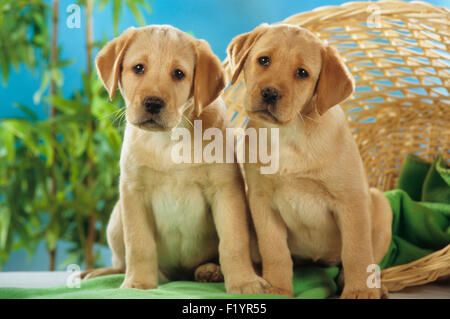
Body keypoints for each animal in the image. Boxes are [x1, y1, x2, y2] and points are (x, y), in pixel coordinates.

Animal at [83, 25, 268, 296]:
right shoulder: (133, 191)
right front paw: (138, 283)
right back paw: (98, 273)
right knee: (120, 262)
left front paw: (245, 281)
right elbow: (138, 243)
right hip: (117, 218)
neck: (169, 139)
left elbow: (234, 241)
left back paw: (209, 271)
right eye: (138, 68)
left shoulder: (226, 189)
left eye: (179, 74)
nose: (152, 103)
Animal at [227, 24, 392, 300]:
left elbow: (356, 251)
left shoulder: (351, 200)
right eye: (264, 60)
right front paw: (278, 289)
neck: (288, 135)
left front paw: (359, 291)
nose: (270, 93)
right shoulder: (261, 200)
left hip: (381, 204)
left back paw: (372, 285)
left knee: (369, 260)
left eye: (302, 73)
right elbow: (275, 252)